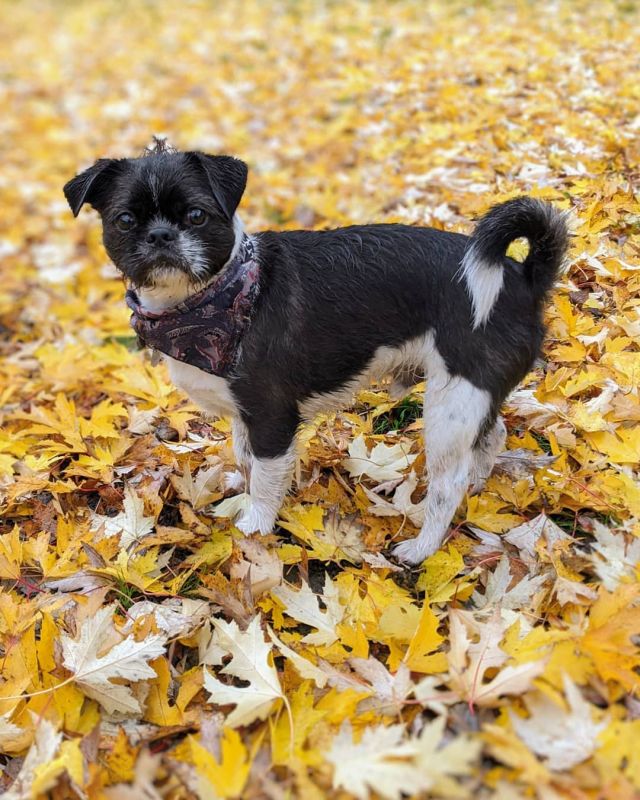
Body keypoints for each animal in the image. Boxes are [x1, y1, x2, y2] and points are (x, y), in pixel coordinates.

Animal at [63, 145, 564, 568]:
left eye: (196, 215)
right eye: (125, 220)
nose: (161, 235)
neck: (210, 299)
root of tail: (522, 276)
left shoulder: (271, 418)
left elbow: (266, 478)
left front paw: (255, 526)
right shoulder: (245, 417)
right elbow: (244, 457)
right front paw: (241, 489)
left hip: (450, 407)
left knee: (447, 486)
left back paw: (422, 546)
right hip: (472, 396)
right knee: (492, 435)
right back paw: (479, 484)